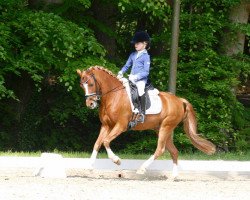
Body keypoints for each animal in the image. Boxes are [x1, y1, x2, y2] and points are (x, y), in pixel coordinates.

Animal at [76, 65, 215, 177]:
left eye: (91, 84)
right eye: (82, 86)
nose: (90, 104)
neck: (113, 95)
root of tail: (180, 100)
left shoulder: (121, 125)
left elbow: (105, 141)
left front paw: (116, 160)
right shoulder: (106, 125)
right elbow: (97, 143)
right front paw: (90, 166)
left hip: (166, 127)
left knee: (160, 149)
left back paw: (142, 169)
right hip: (163, 129)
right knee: (174, 152)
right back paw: (173, 177)